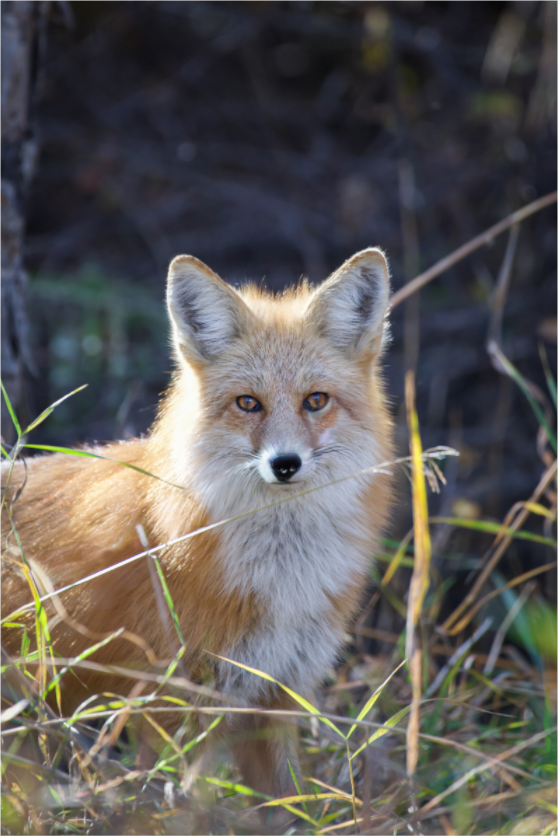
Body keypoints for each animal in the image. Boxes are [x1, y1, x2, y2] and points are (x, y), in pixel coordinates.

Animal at [0, 247, 393, 800]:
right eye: (248, 403)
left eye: (315, 400)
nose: (285, 463)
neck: (282, 584)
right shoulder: (171, 703)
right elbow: (174, 802)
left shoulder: (276, 697)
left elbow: (289, 801)